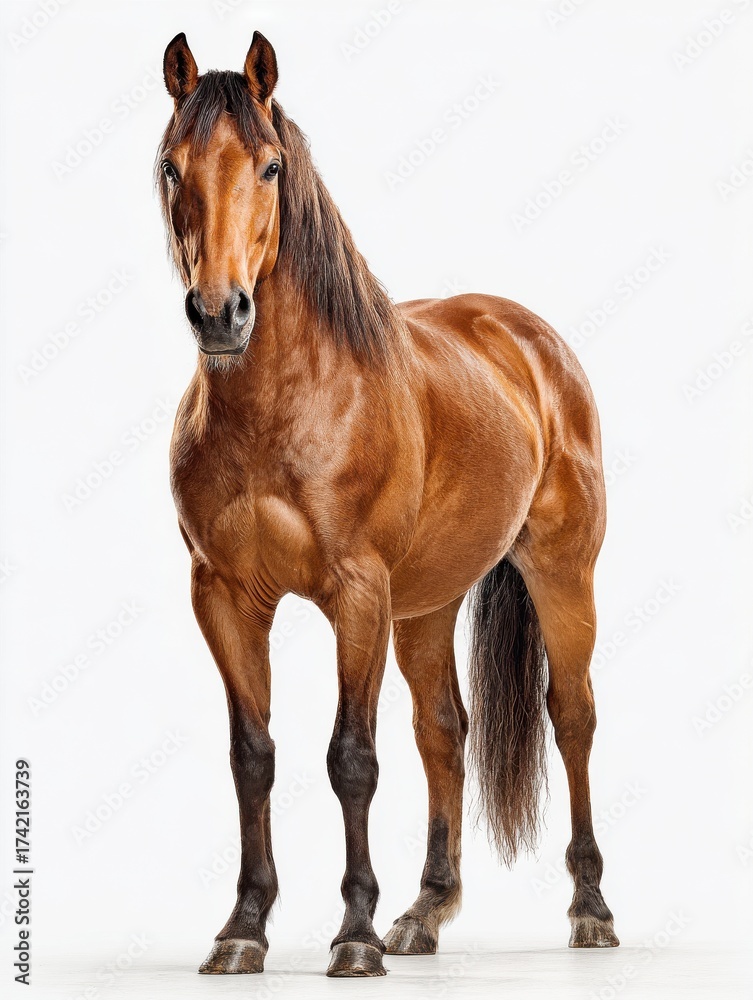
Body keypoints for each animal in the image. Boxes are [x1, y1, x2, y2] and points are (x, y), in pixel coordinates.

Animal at [156, 30, 619, 979]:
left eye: (269, 166)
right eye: (172, 166)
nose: (220, 314)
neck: (285, 405)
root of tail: (529, 339)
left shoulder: (356, 594)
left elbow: (352, 759)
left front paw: (354, 935)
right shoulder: (222, 596)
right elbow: (252, 757)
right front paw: (244, 928)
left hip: (562, 575)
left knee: (573, 717)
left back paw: (589, 908)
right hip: (427, 605)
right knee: (443, 730)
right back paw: (425, 912)